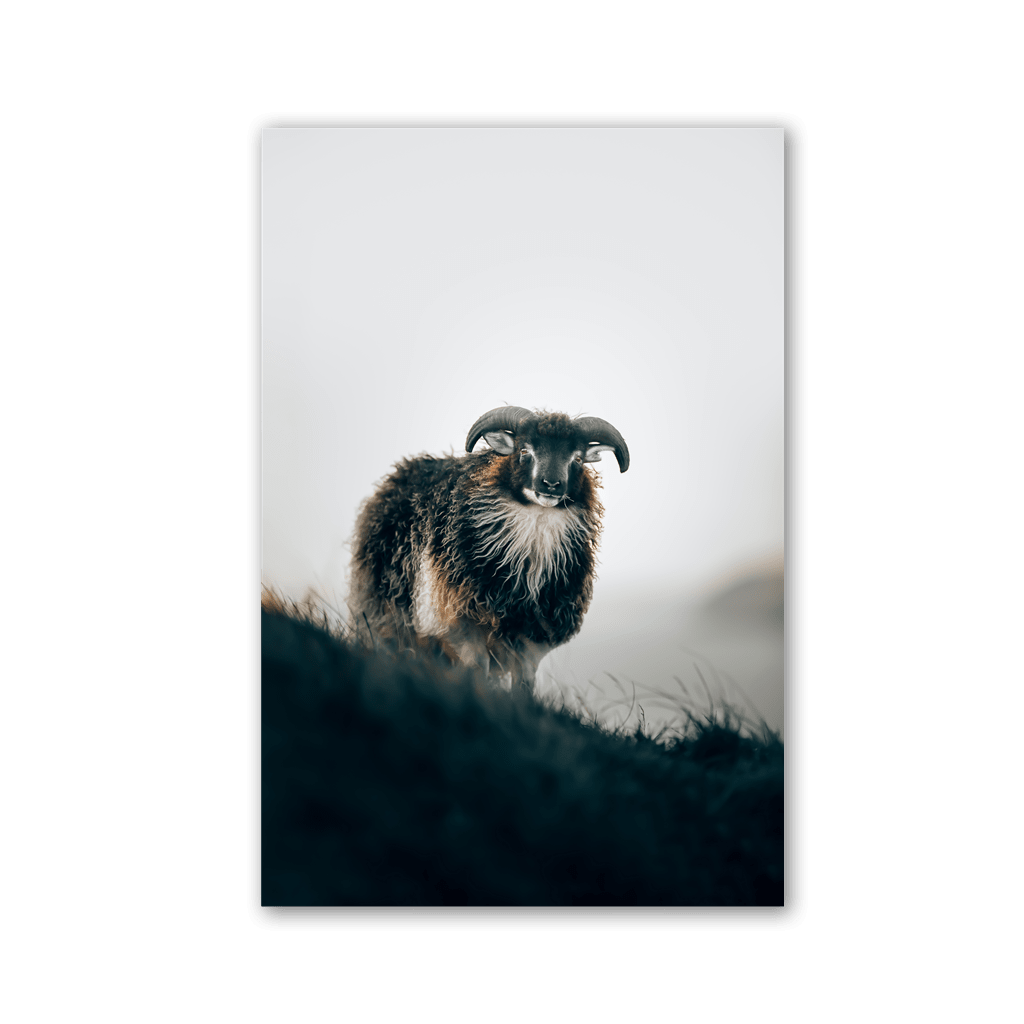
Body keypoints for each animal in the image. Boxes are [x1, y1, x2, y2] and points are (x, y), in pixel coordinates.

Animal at [348, 406, 629, 689]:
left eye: (578, 459)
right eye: (524, 451)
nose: (551, 485)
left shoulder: (533, 639)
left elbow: (524, 686)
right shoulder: (463, 624)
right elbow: (476, 672)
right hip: (385, 615)